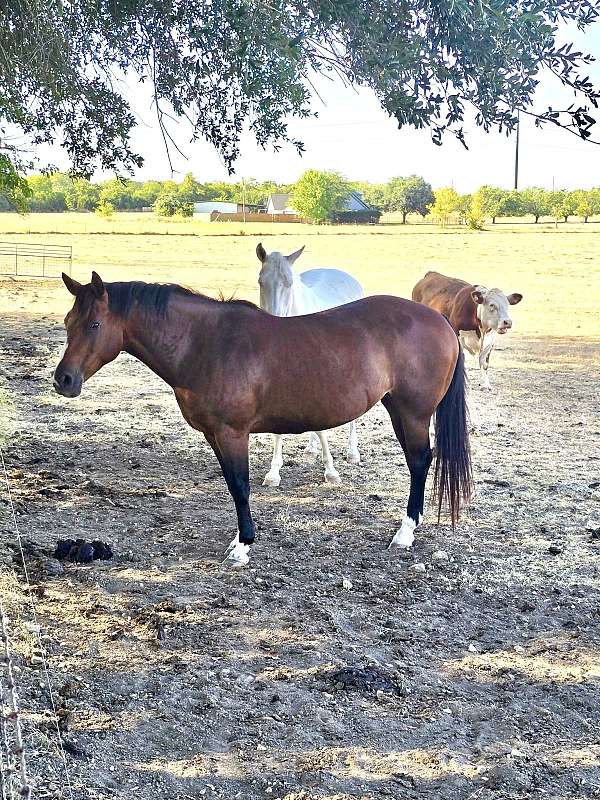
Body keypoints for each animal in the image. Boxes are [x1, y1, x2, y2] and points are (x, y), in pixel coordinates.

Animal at [53, 272, 472, 568]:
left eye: (94, 325)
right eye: (67, 321)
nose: (64, 381)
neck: (205, 344)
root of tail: (439, 320)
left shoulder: (233, 433)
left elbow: (241, 486)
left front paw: (243, 546)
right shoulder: (214, 435)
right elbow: (231, 483)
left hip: (412, 413)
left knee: (419, 462)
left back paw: (405, 533)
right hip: (397, 409)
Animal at [256, 242, 364, 487]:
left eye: (289, 282)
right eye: (261, 281)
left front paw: (331, 471)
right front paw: (273, 473)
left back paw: (352, 453)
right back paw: (311, 448)